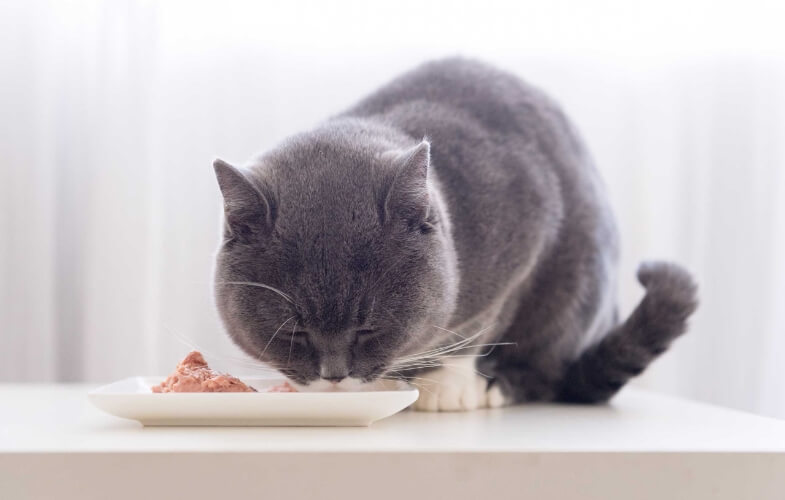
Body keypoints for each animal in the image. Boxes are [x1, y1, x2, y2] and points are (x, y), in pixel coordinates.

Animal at [211, 57, 696, 410]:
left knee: (545, 370)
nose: (334, 376)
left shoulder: (524, 234)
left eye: (367, 328)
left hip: (577, 287)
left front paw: (445, 385)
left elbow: (481, 324)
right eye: (294, 332)